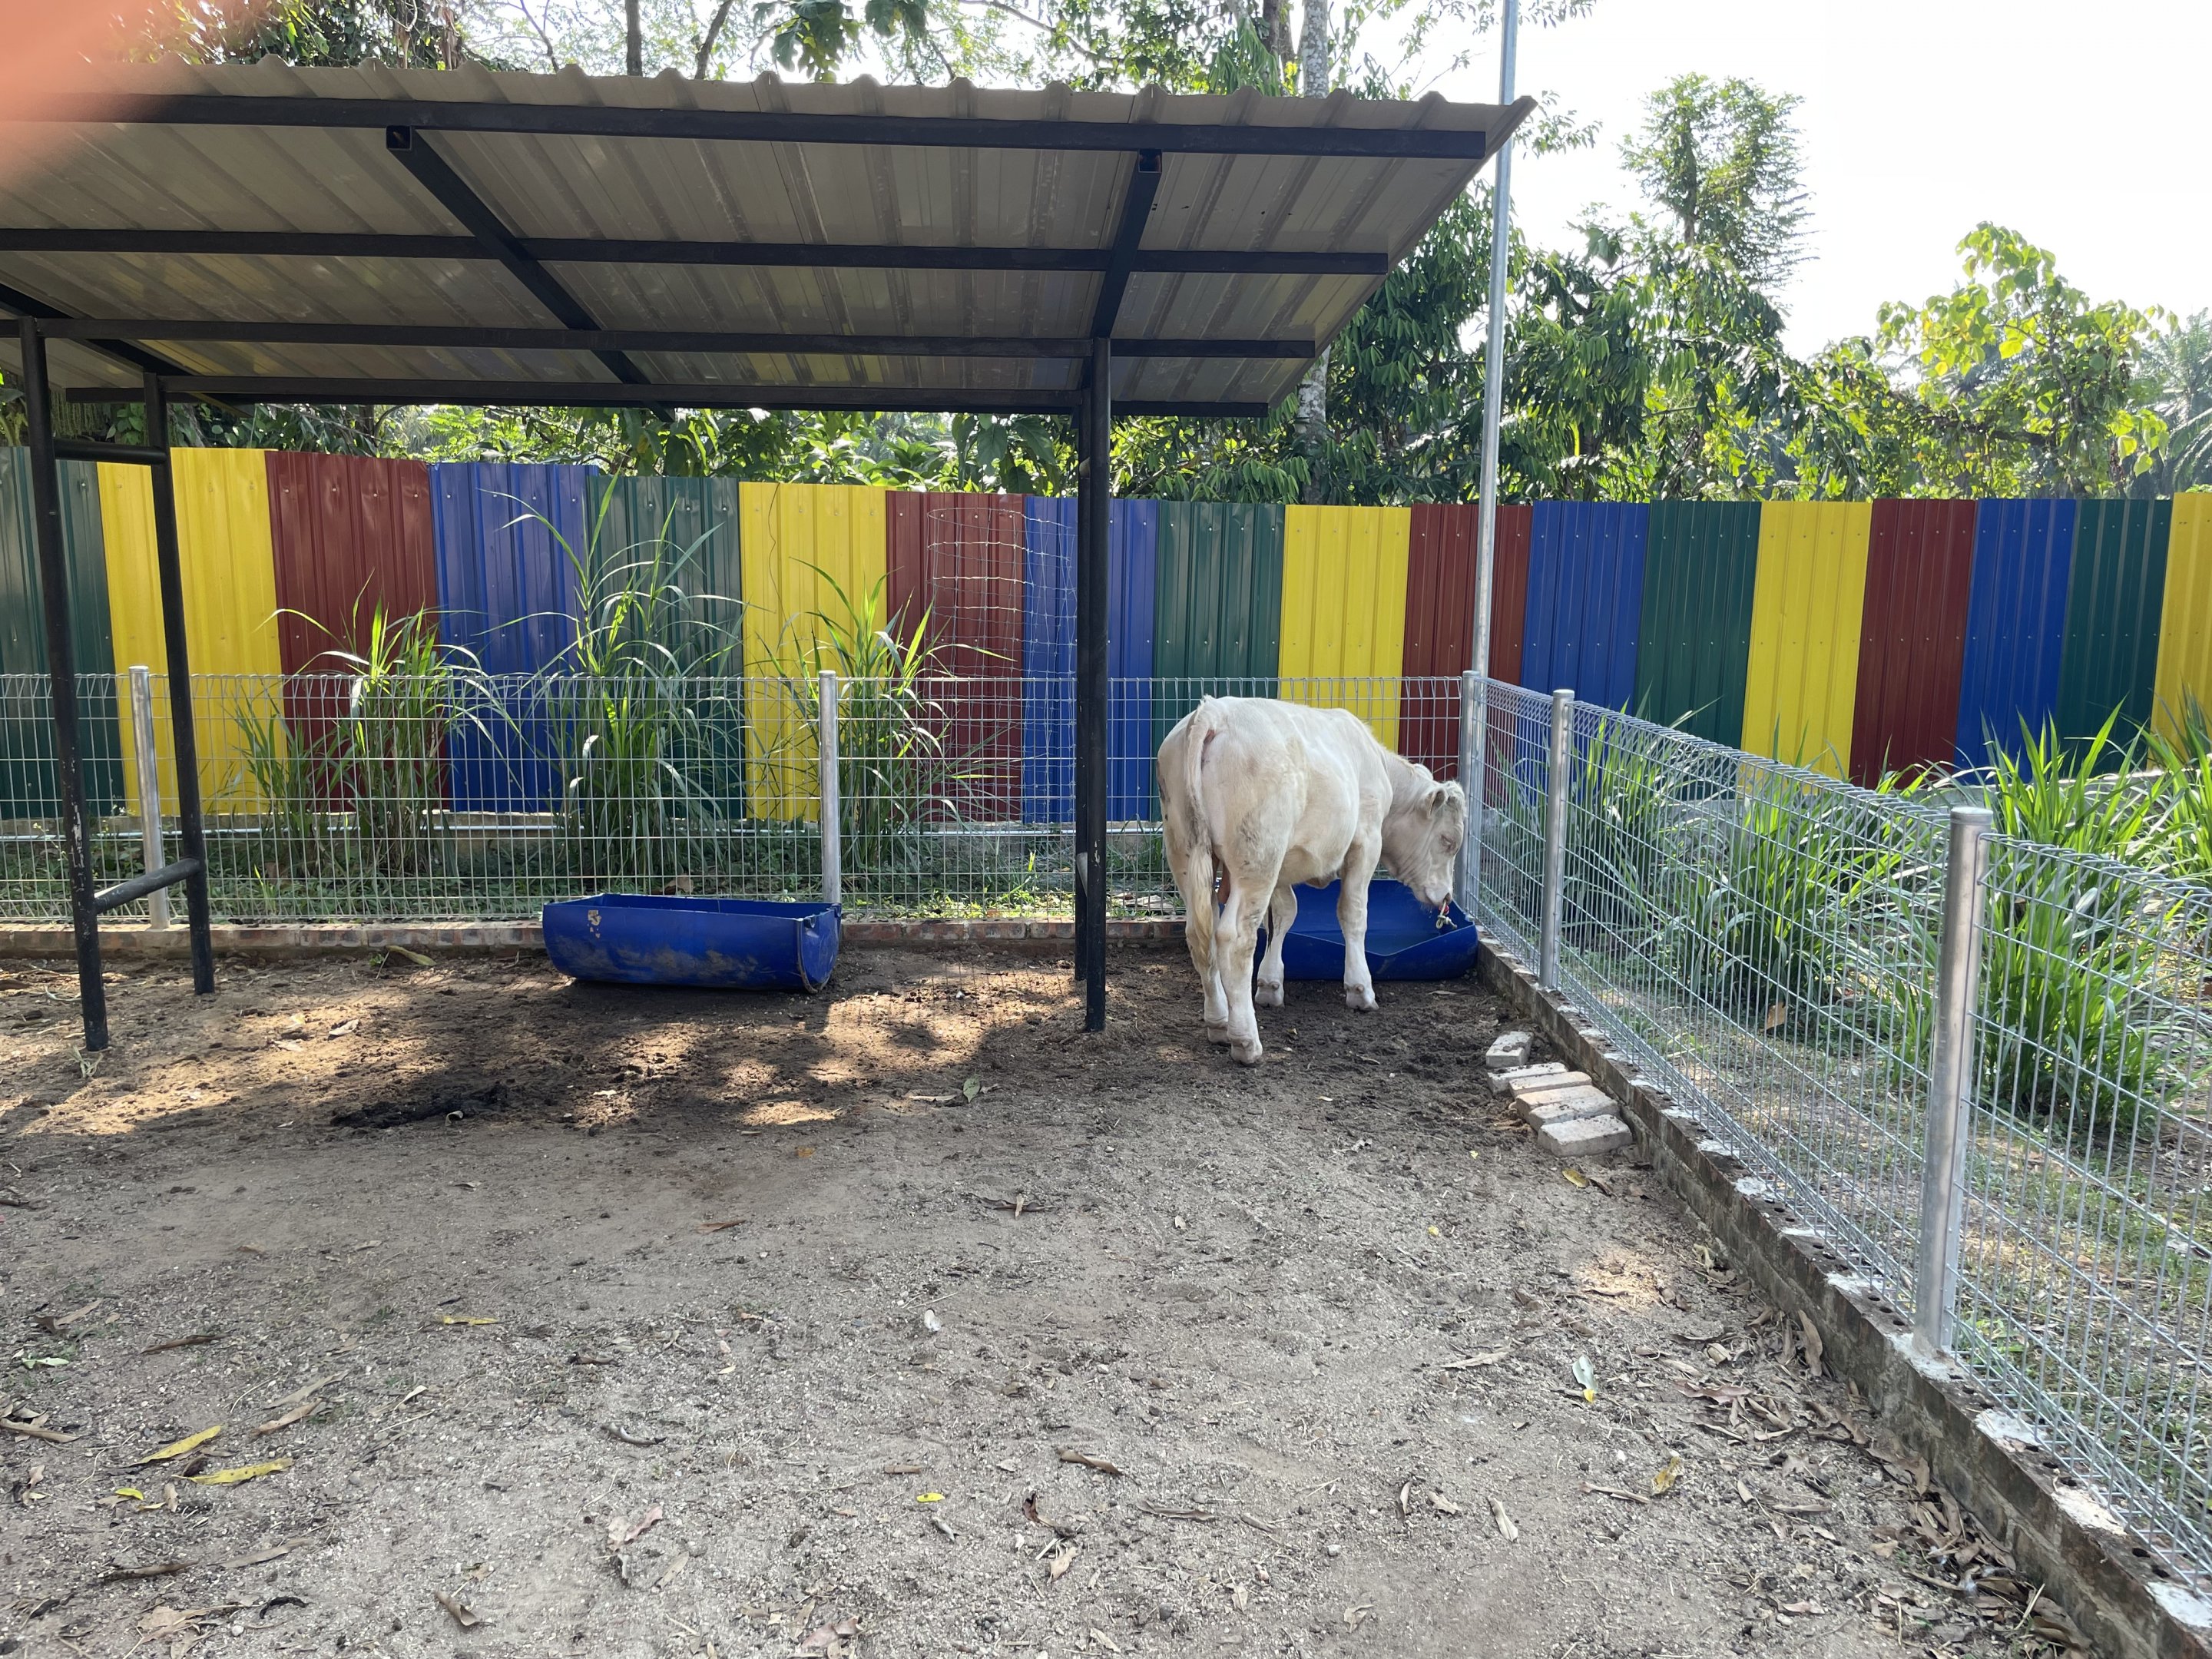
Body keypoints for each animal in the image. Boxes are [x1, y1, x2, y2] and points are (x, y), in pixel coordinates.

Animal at [1158, 696, 1467, 1065]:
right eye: (1448, 841)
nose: (1446, 896)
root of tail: (1214, 710)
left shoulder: (1283, 866)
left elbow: (1284, 915)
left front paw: (1270, 983)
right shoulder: (1366, 842)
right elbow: (1353, 914)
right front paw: (1360, 989)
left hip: (1186, 852)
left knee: (1199, 935)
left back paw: (1218, 1022)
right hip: (1258, 856)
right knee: (1235, 940)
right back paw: (1246, 1040)